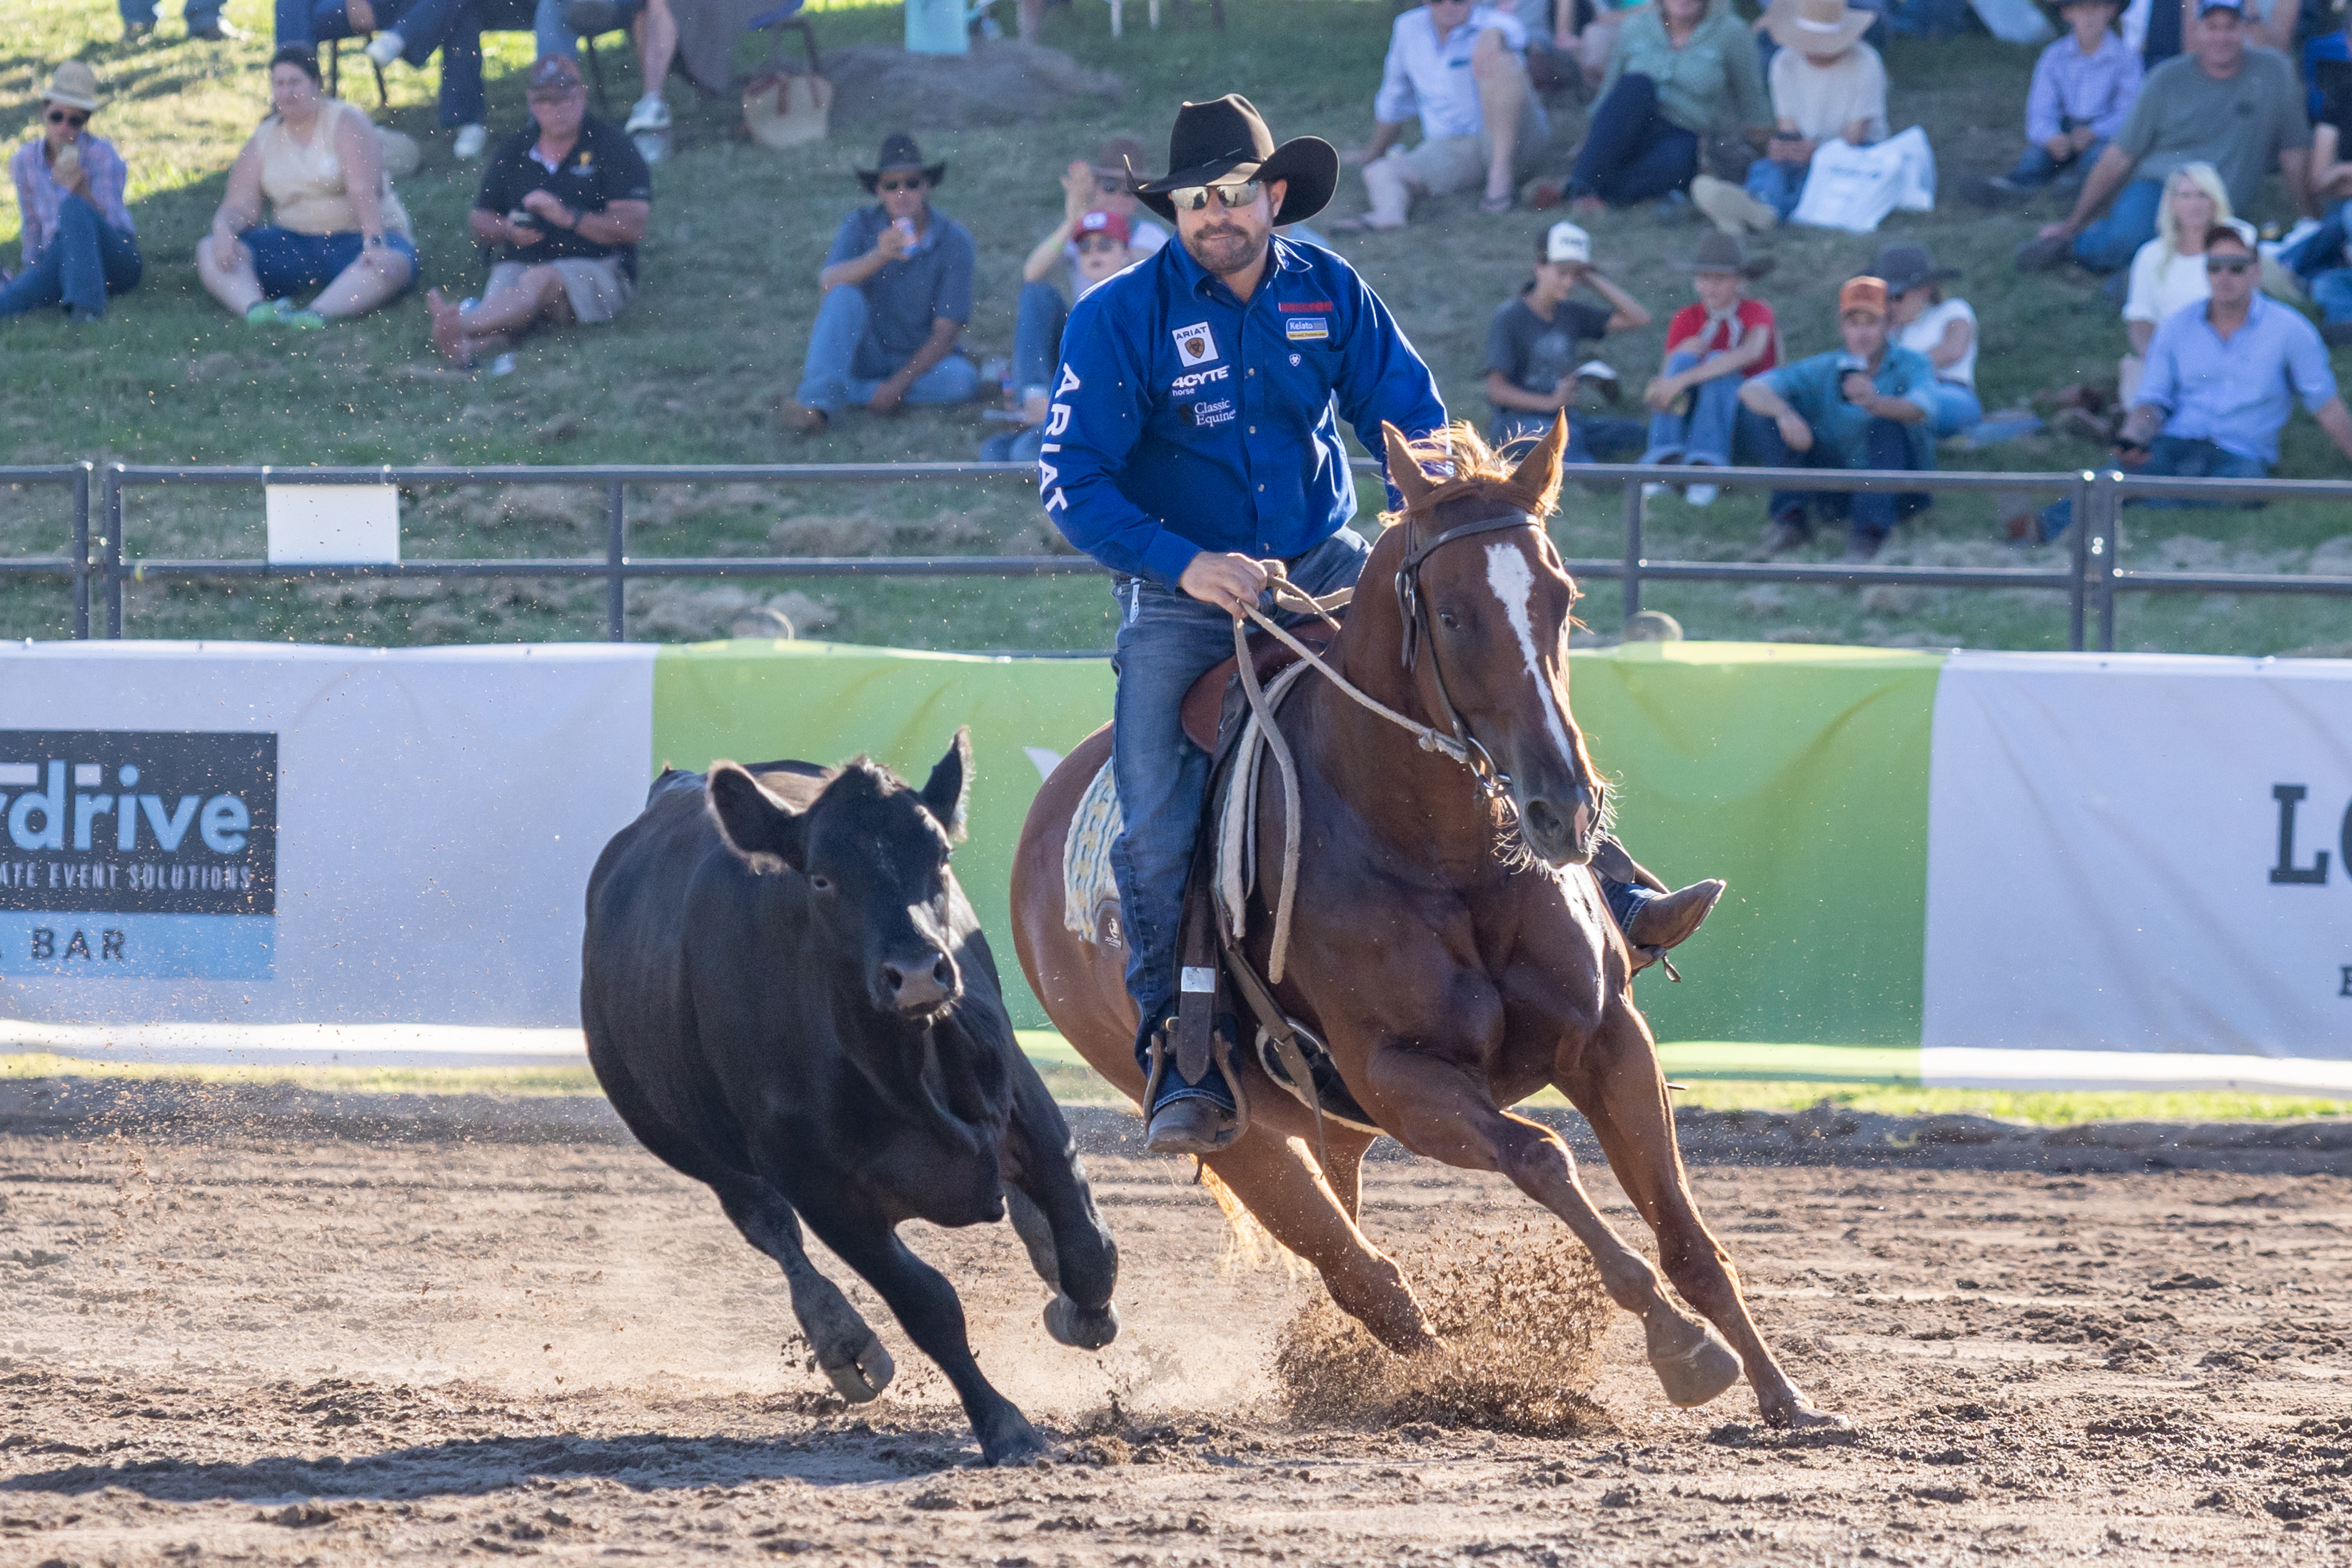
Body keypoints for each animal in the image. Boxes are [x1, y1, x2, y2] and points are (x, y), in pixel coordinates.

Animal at [580, 730, 1120, 1466]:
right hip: (676, 1136)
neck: (896, 1066)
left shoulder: (1025, 1105)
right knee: (766, 1225)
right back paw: (842, 1343)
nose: (918, 972)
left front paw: (1079, 1307)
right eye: (821, 877)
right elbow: (926, 1303)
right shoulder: (821, 1188)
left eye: (940, 855)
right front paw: (1003, 1424)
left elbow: (1088, 1248)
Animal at [1010, 415, 1836, 1429]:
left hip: (1336, 1124)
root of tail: (1045, 815)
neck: (1449, 859)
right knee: (1360, 1272)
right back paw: (1429, 1381)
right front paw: (1681, 1347)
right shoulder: (1403, 1079)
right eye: (1451, 615)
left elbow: (1685, 1233)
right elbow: (1542, 1157)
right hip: (1237, 1130)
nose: (1564, 807)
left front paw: (1783, 1393)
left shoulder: (1611, 1040)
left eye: (1563, 600)